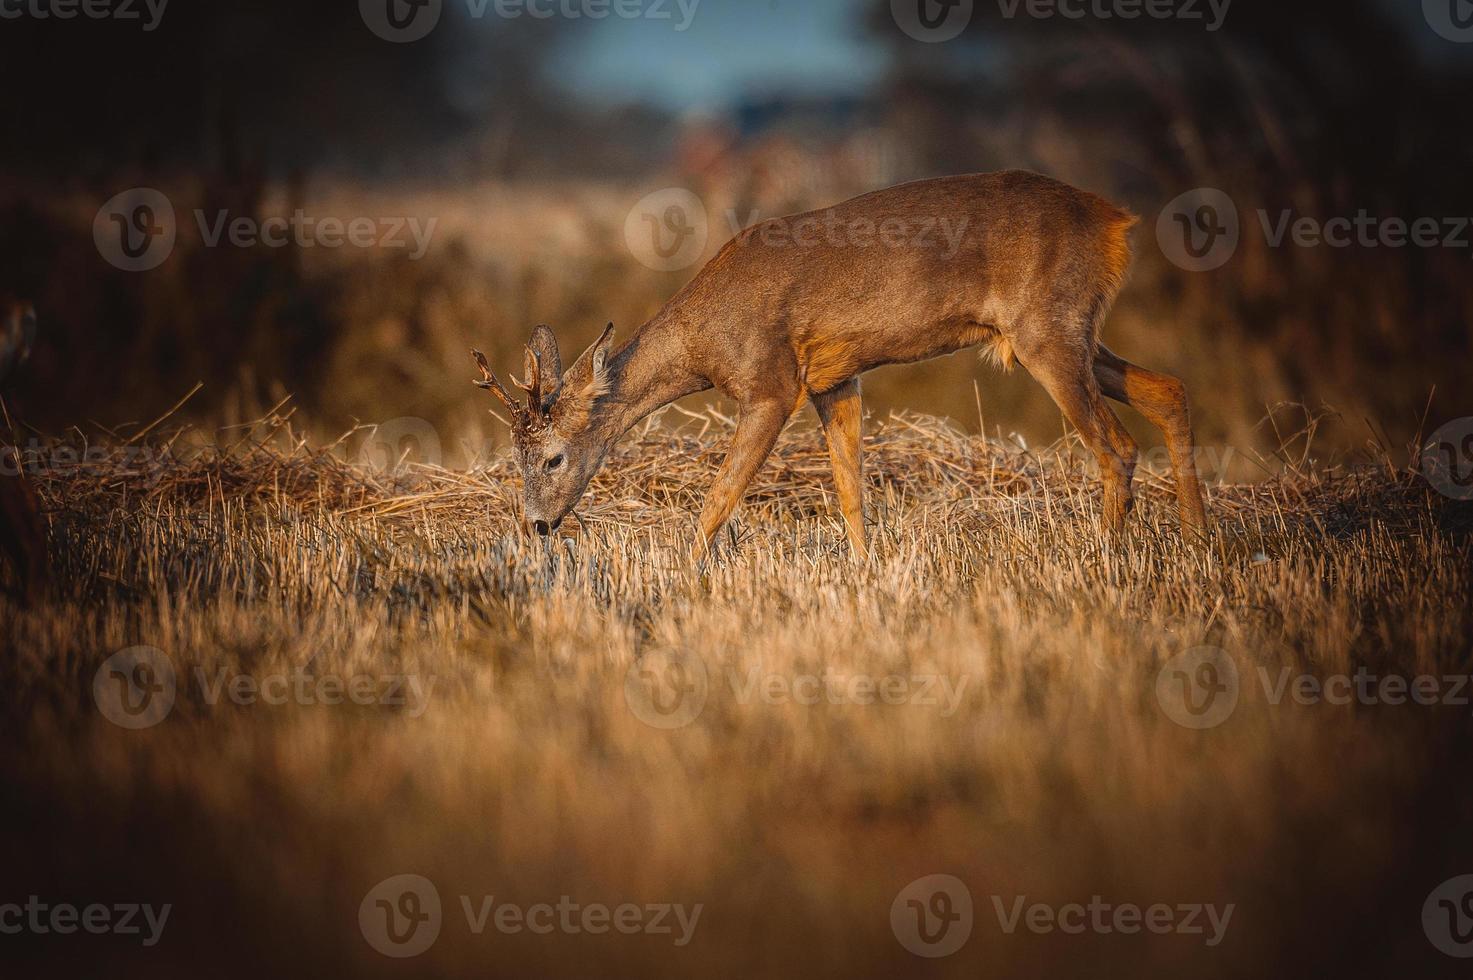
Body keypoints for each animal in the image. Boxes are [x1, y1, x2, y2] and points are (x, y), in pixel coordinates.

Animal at [471, 171, 1207, 557]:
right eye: (514, 456)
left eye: (553, 457)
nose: (536, 524)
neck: (705, 342)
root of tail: (1116, 221)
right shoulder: (835, 379)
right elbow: (850, 491)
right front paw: (863, 570)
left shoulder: (772, 384)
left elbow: (719, 496)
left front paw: (686, 569)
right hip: (1067, 333)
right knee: (1169, 389)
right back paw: (1199, 541)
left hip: (1047, 331)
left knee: (1115, 445)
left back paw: (1107, 557)